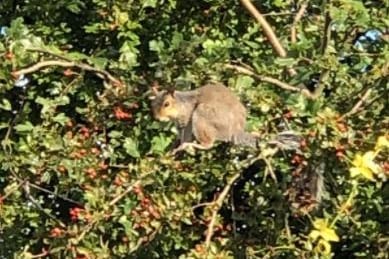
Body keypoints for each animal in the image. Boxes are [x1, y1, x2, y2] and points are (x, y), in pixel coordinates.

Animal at [150, 83, 298, 154]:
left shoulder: (186, 119)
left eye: (166, 104)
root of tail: (235, 130)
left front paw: (180, 146)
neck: (181, 104)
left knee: (208, 145)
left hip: (202, 115)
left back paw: (193, 145)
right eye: (152, 104)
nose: (157, 118)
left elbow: (185, 136)